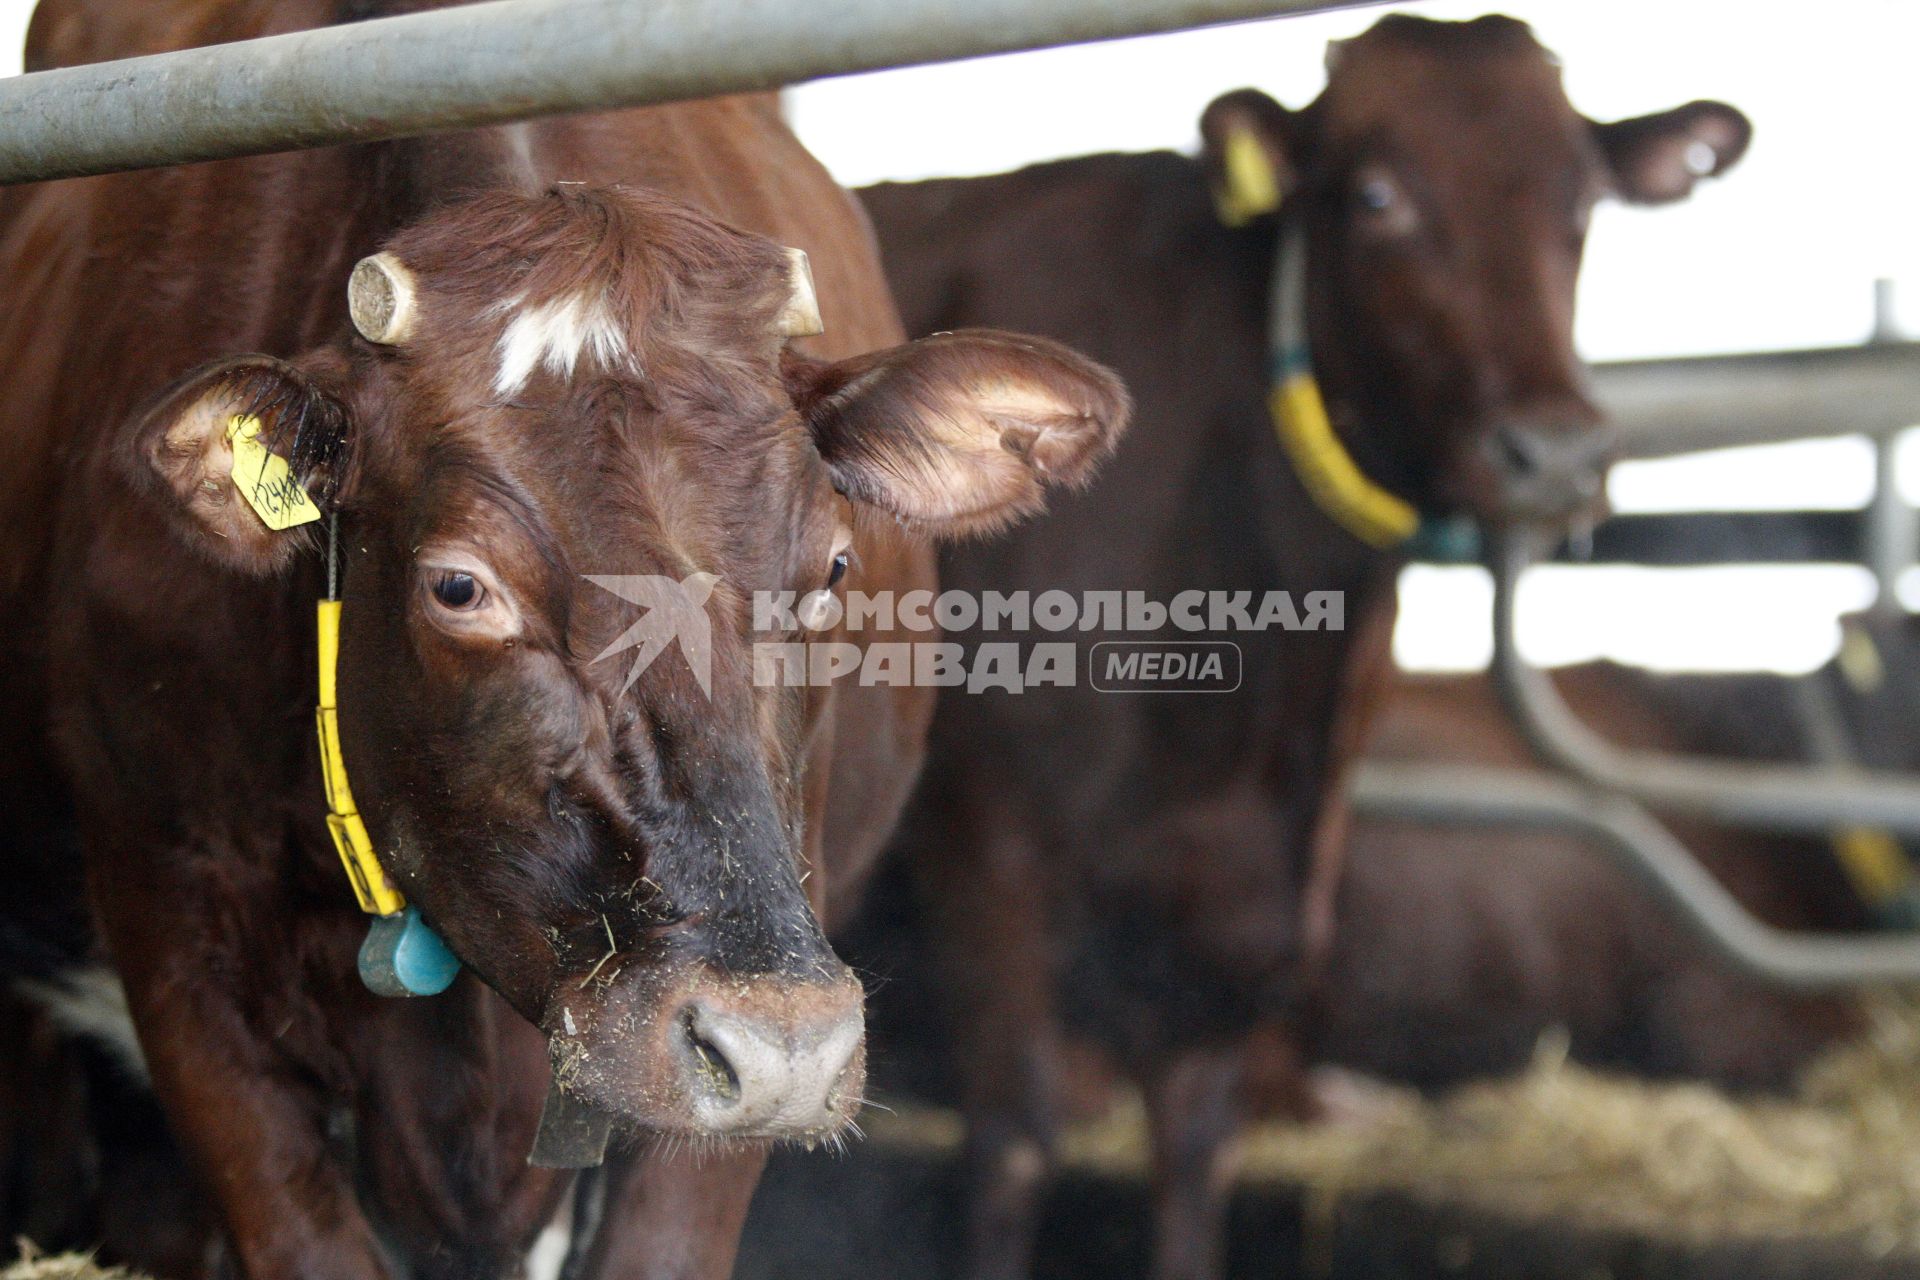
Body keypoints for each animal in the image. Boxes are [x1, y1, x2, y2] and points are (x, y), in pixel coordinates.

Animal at [864, 17, 1751, 1280]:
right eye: (1375, 195)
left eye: (1583, 199)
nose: (1557, 450)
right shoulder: (990, 853)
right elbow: (1013, 1146)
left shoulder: (1246, 909)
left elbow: (1196, 1152)